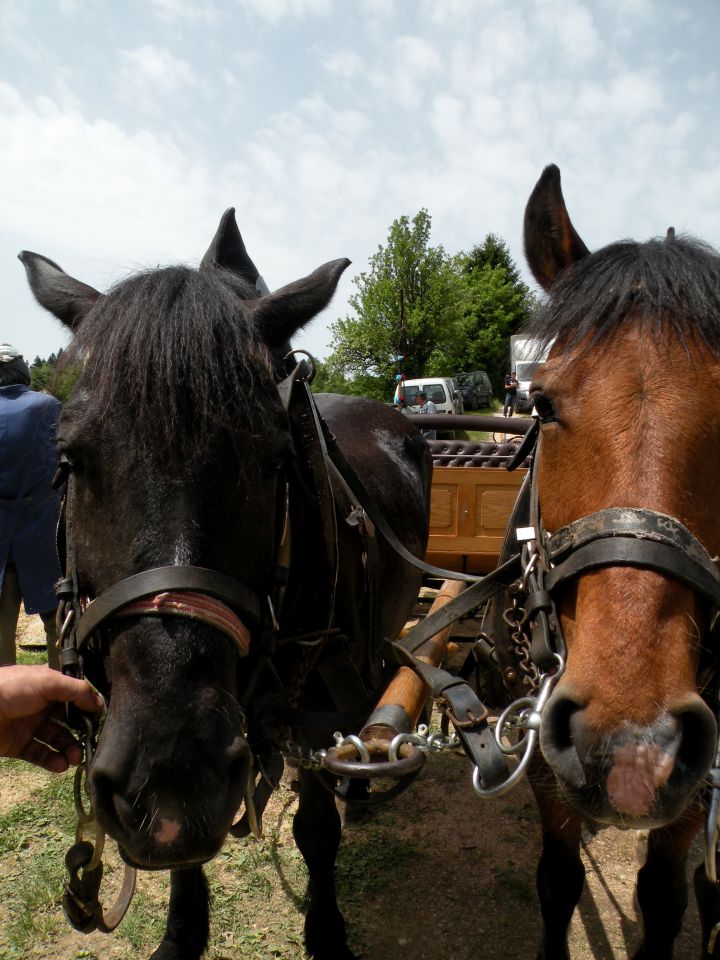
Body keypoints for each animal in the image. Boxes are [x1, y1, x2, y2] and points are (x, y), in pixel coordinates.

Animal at [19, 216, 430, 960]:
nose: (171, 780)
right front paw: (184, 927)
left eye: (275, 460)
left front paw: (327, 929)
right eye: (68, 460)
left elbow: (315, 830)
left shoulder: (312, 715)